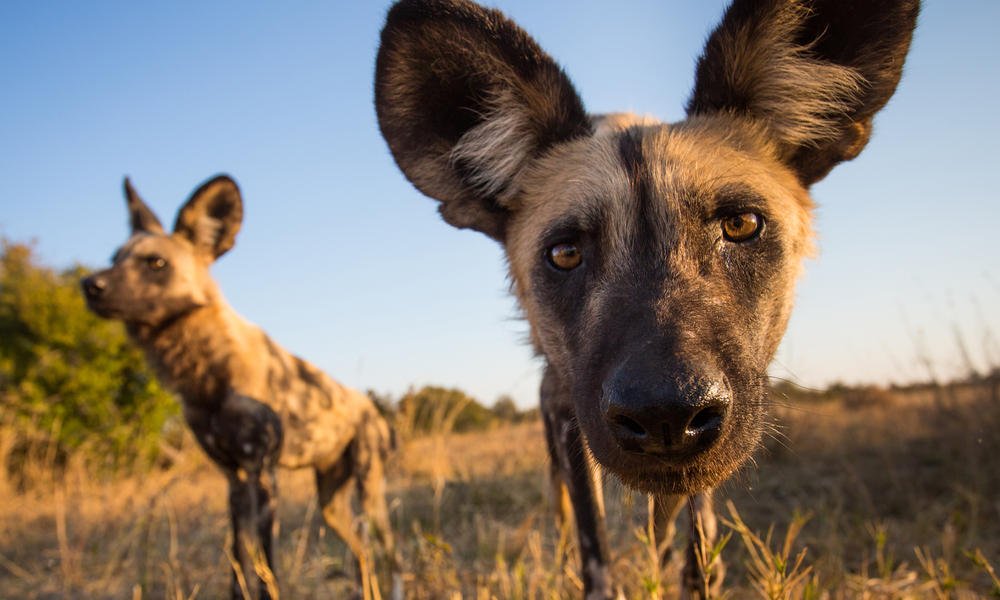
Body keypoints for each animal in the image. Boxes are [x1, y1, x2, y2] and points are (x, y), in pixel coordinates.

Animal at [82, 176, 400, 600]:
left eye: (156, 264)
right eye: (114, 257)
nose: (89, 284)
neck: (206, 375)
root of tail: (371, 407)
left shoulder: (263, 476)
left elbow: (267, 569)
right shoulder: (233, 481)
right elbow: (238, 562)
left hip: (370, 491)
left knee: (392, 553)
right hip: (331, 504)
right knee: (362, 550)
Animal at [376, 0, 920, 596]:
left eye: (741, 225)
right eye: (565, 253)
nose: (665, 413)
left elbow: (697, 543)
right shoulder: (571, 423)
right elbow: (595, 548)